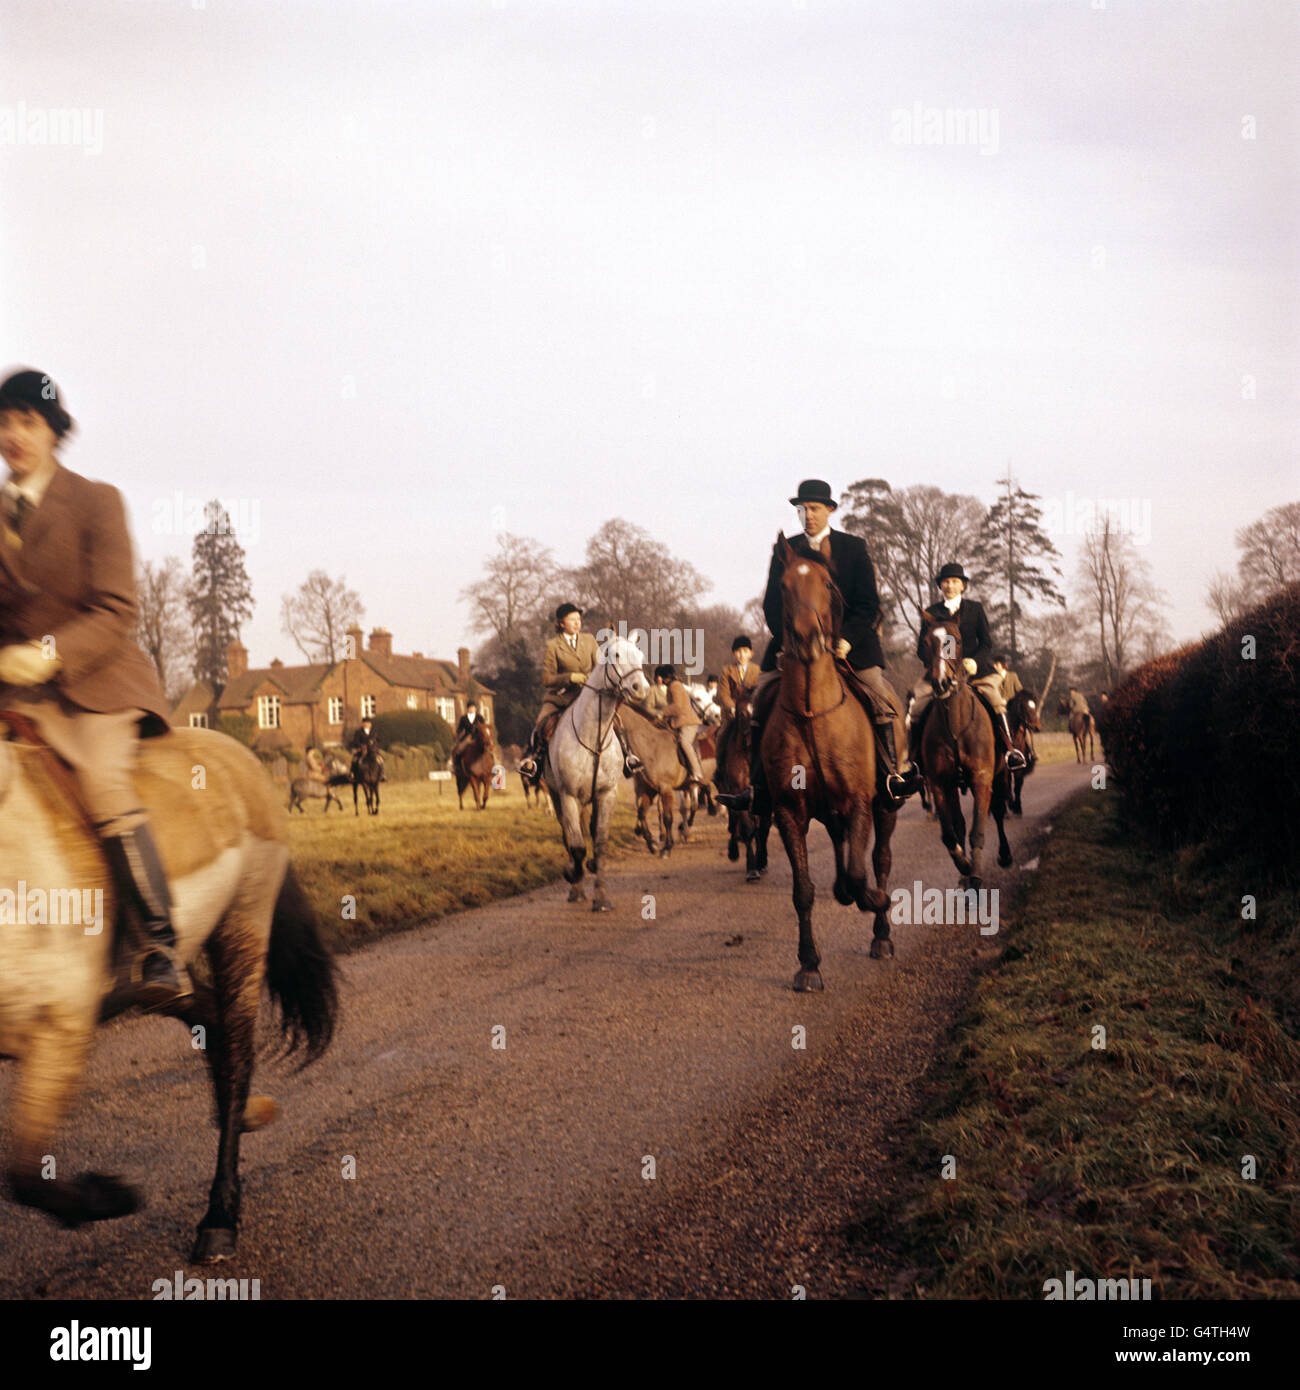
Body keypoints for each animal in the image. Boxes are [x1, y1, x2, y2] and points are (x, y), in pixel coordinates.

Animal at [0, 722, 340, 1267]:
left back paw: (219, 1217)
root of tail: (233, 751)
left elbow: (26, 1175)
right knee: (211, 1022)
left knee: (236, 1055)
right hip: (155, 981)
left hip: (243, 925)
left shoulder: (59, 1027)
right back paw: (247, 1117)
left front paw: (110, 1196)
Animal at [756, 536, 900, 995]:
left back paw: (881, 935)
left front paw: (874, 900)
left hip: (886, 807)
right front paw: (808, 964)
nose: (806, 638)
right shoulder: (789, 810)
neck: (811, 710)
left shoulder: (859, 802)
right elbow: (803, 890)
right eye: (783, 586)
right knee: (842, 849)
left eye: (828, 584)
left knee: (880, 860)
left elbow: (860, 873)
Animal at [917, 614, 1017, 884]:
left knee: (998, 812)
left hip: (1000, 776)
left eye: (958, 640)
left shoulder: (981, 779)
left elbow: (977, 831)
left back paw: (1004, 855)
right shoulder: (940, 784)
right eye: (926, 642)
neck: (955, 726)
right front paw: (964, 866)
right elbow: (950, 833)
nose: (941, 683)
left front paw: (975, 876)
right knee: (959, 824)